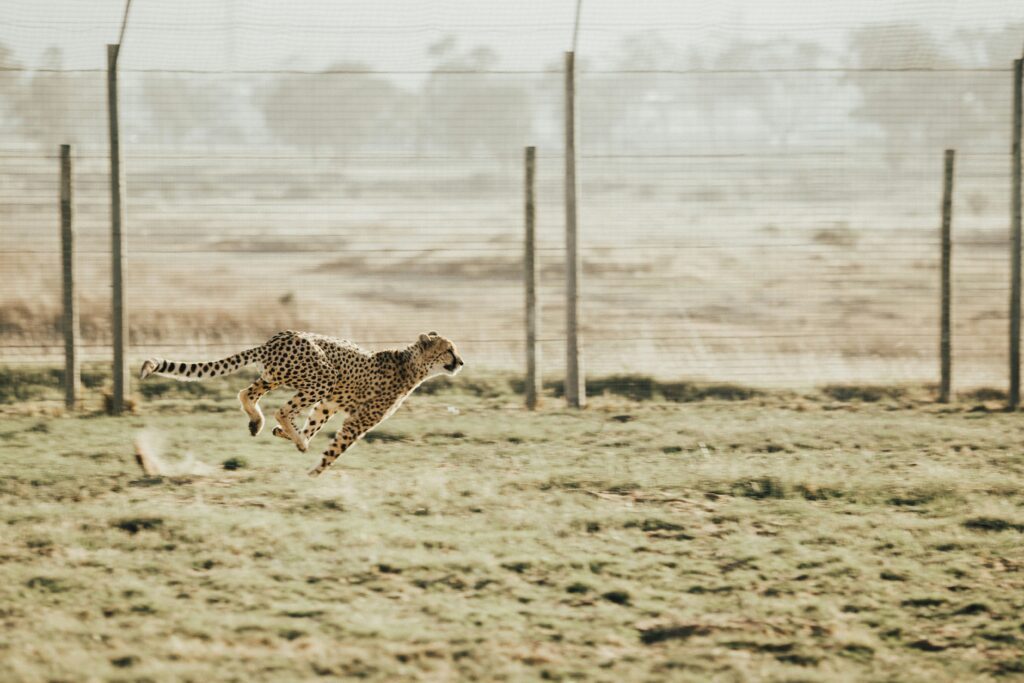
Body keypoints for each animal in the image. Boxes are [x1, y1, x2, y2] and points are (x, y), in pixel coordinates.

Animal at [138, 331, 466, 475]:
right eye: (449, 350)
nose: (461, 362)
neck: (411, 364)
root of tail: (276, 338)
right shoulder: (357, 420)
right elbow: (335, 449)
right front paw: (313, 472)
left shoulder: (329, 404)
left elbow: (315, 423)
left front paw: (291, 437)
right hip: (323, 376)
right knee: (281, 409)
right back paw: (289, 434)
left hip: (277, 376)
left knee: (247, 393)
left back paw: (260, 424)